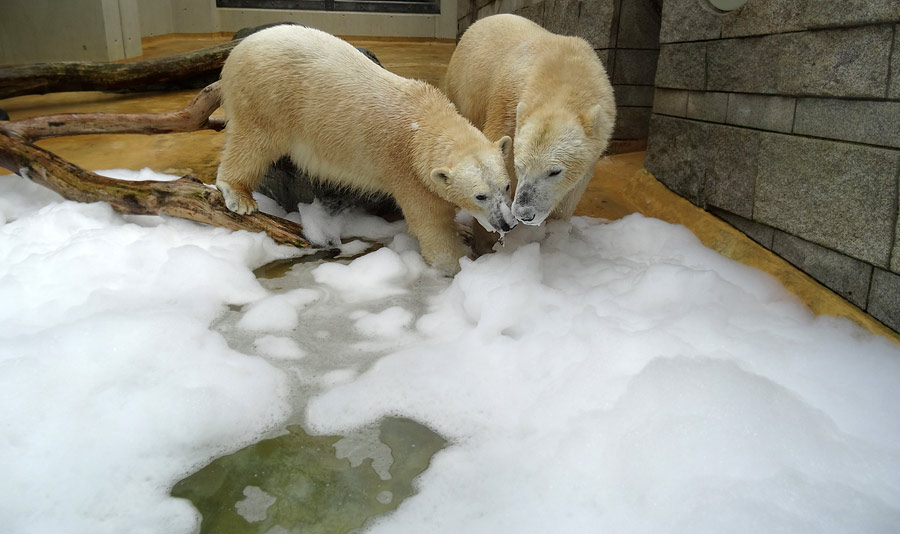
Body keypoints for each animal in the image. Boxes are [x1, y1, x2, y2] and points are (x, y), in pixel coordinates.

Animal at [214, 24, 516, 274]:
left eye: (506, 186)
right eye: (479, 196)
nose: (507, 224)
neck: (426, 120)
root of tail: (239, 48)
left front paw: (465, 233)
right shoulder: (409, 175)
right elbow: (431, 223)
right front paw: (458, 262)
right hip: (265, 96)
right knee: (253, 142)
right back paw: (240, 196)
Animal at [444, 12, 620, 226]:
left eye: (554, 171)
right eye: (520, 166)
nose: (524, 214)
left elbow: (570, 196)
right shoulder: (509, 104)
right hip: (462, 85)